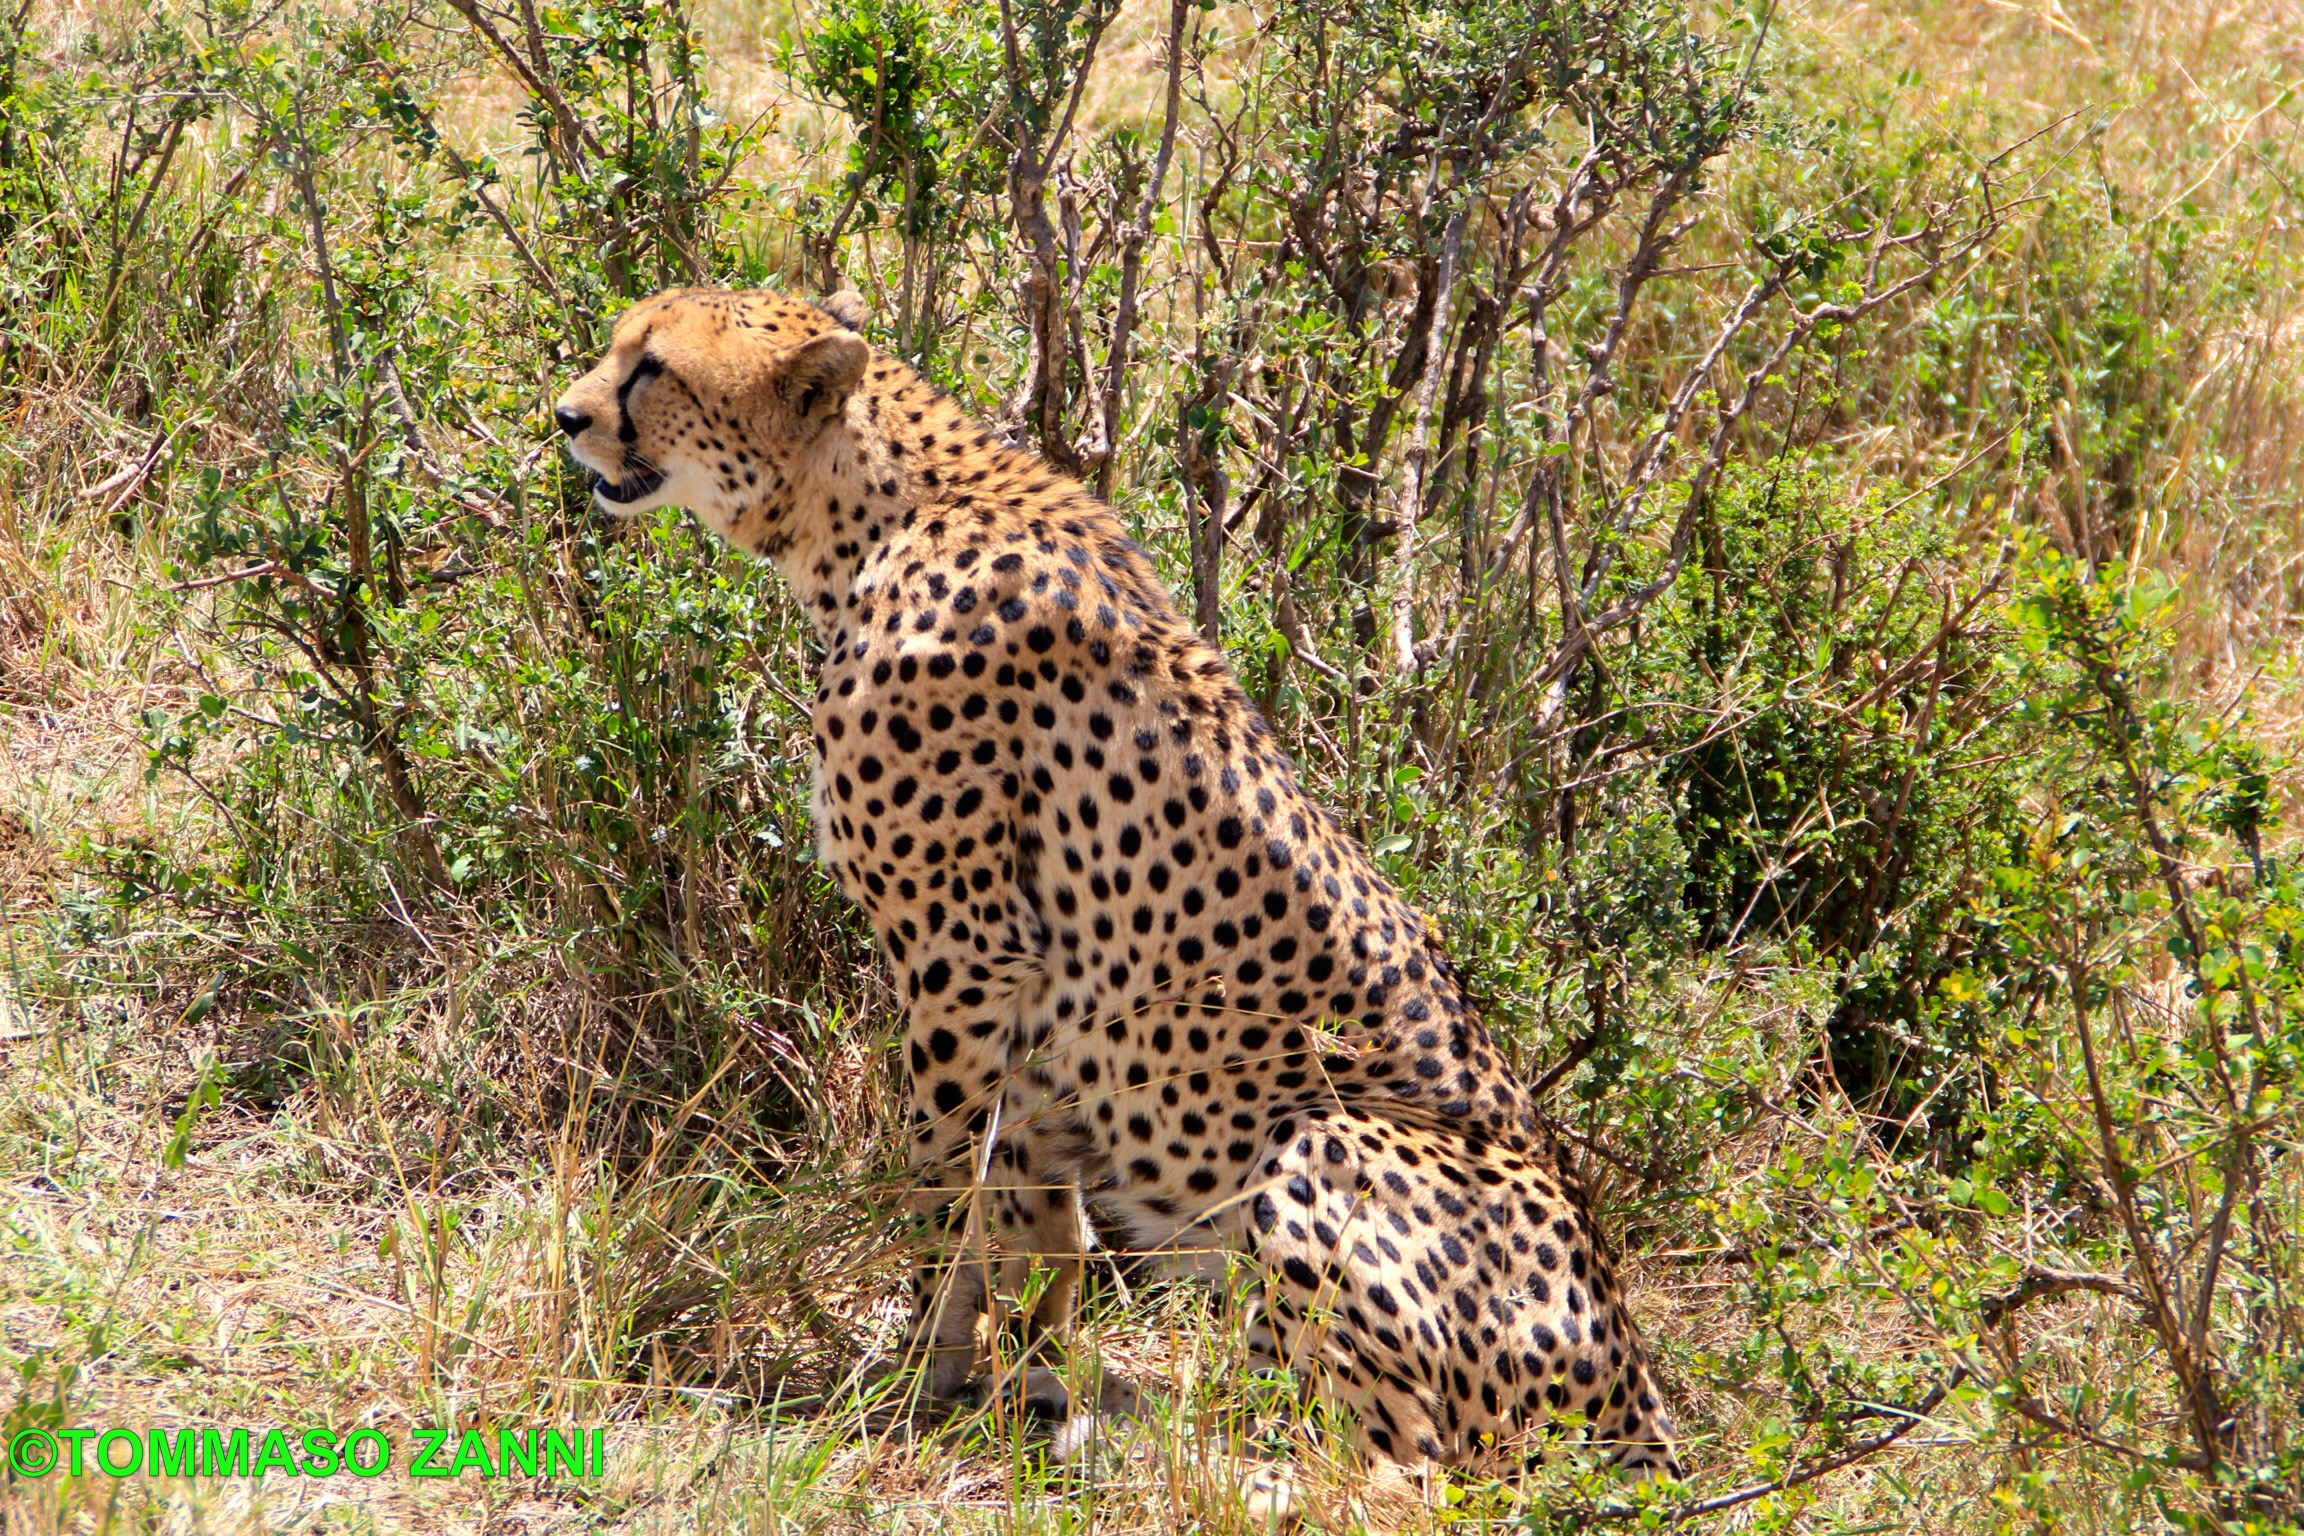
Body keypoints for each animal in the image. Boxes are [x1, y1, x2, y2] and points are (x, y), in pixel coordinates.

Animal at [552, 284, 1683, 1489]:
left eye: (653, 369)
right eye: (619, 344)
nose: (566, 417)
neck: (873, 515)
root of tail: (1639, 1393)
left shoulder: (960, 950)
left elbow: (942, 1189)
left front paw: (916, 1378)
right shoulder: (1035, 999)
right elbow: (1038, 1211)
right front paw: (1018, 1375)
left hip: (1317, 1145)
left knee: (1394, 1472)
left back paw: (1166, 1455)